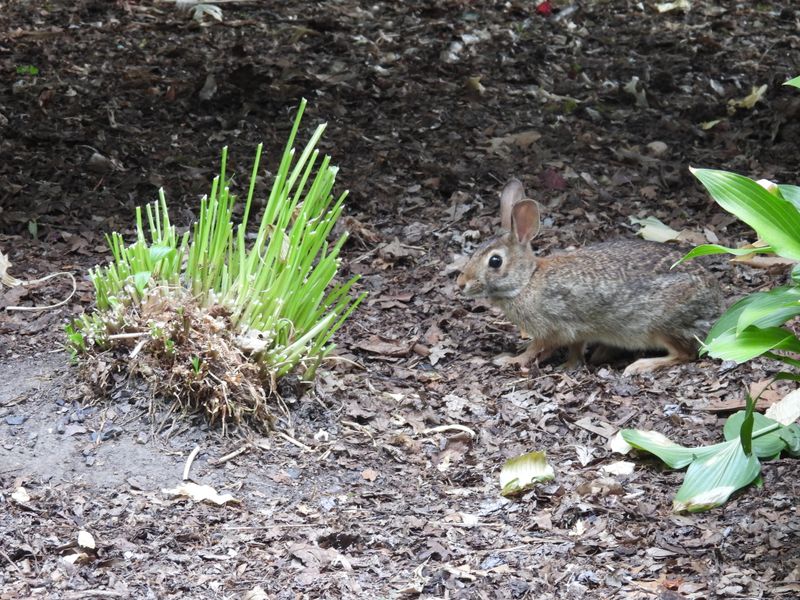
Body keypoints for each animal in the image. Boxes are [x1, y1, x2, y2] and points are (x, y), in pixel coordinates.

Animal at [456, 178, 724, 376]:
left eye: (495, 261)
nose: (461, 285)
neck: (527, 281)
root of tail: (715, 307)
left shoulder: (551, 327)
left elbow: (536, 348)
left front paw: (512, 360)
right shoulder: (577, 331)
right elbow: (575, 348)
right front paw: (570, 364)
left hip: (662, 324)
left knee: (685, 354)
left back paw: (639, 366)